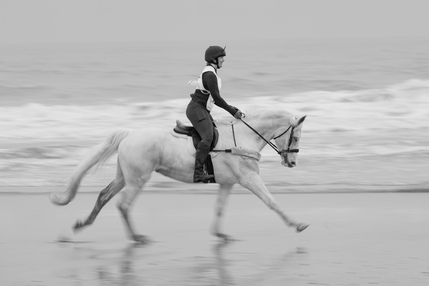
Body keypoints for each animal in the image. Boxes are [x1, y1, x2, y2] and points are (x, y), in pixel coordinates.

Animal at [49, 108, 308, 244]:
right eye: (295, 137)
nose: (292, 162)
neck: (244, 137)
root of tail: (129, 134)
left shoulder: (228, 183)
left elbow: (220, 208)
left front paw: (219, 234)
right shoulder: (249, 179)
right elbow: (271, 202)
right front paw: (297, 224)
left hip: (125, 177)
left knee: (104, 195)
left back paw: (83, 224)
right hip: (138, 179)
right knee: (123, 204)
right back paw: (137, 237)